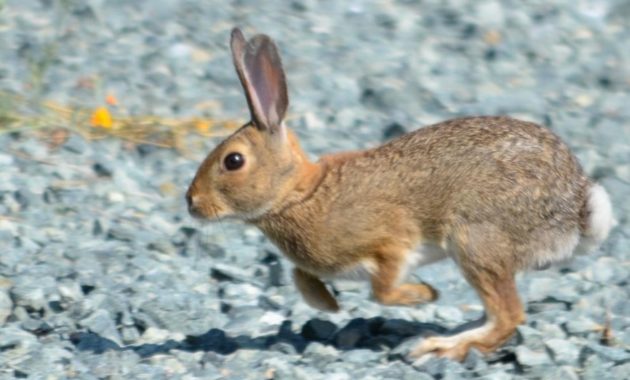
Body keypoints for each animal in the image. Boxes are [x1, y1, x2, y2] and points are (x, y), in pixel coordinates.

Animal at [184, 28, 616, 360]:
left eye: (233, 161)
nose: (191, 204)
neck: (299, 193)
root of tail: (577, 211)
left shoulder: (392, 239)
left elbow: (382, 289)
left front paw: (424, 294)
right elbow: (298, 274)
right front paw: (328, 304)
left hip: (475, 239)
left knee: (508, 315)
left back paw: (444, 347)